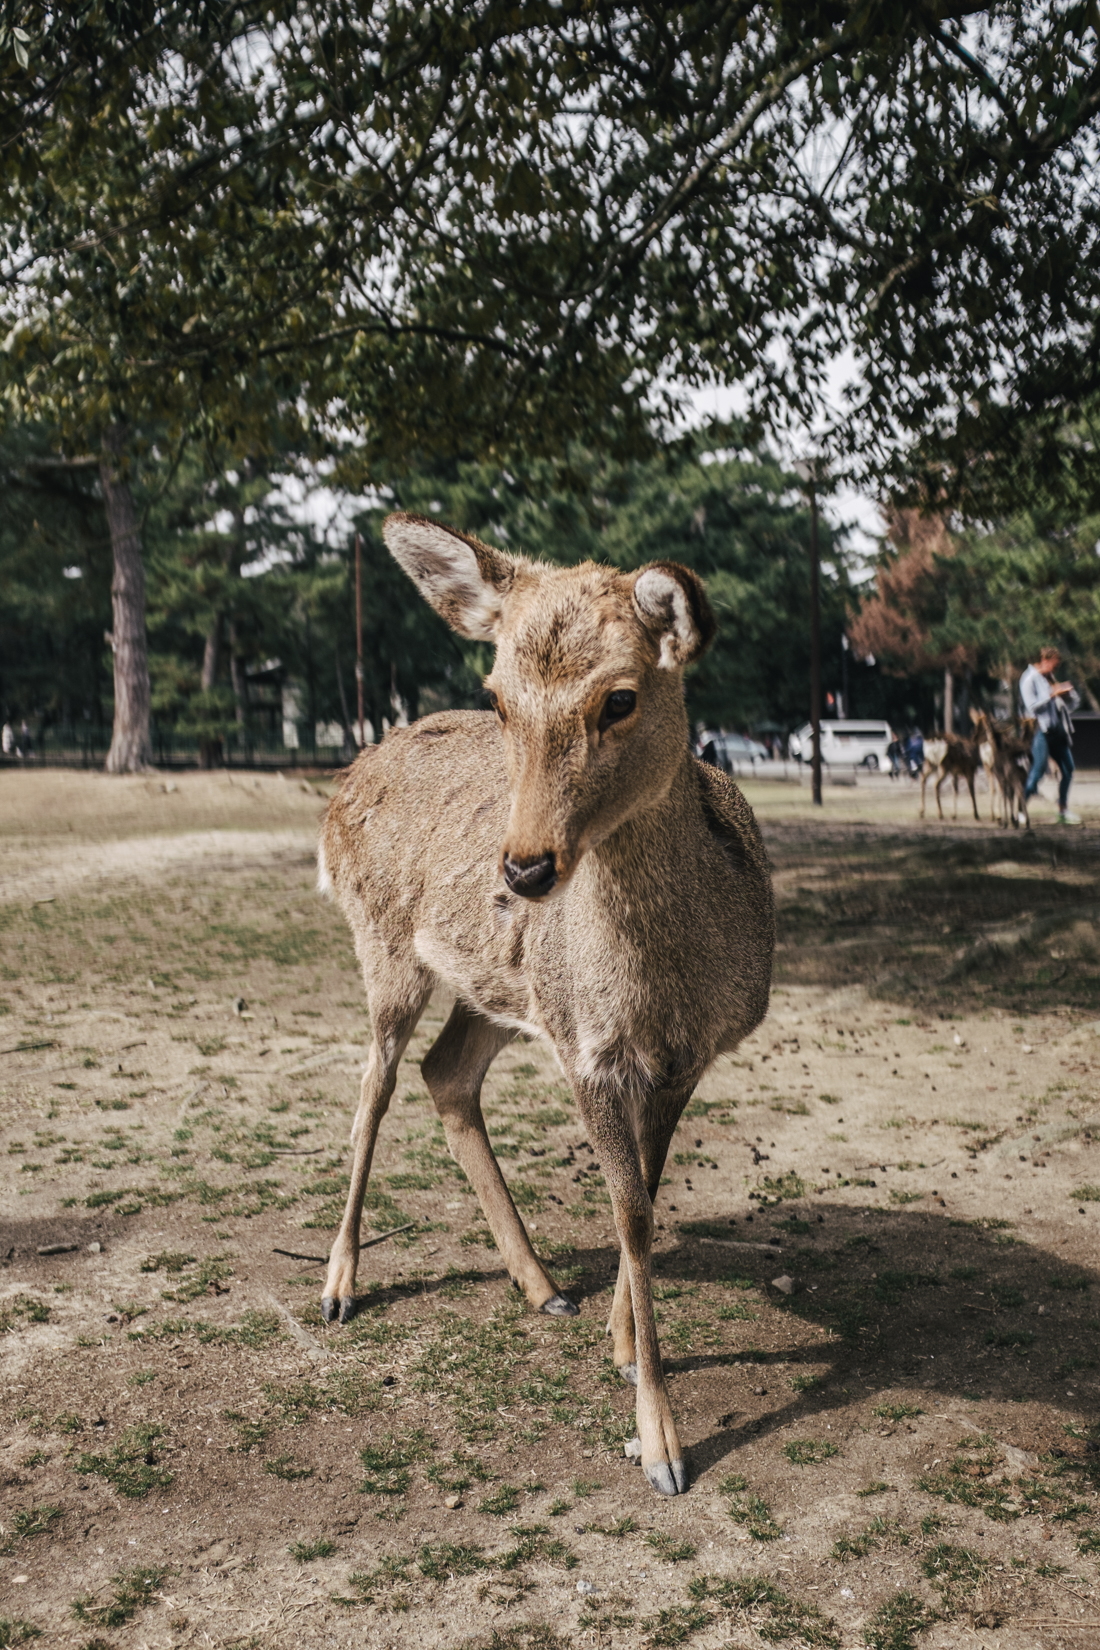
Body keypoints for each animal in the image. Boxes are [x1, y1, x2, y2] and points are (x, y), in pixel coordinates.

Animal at [313, 514, 775, 1498]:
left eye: (621, 698)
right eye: (496, 698)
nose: (524, 868)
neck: (665, 984)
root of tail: (344, 783)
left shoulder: (688, 1055)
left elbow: (644, 1195)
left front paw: (623, 1344)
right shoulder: (586, 1047)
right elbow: (630, 1211)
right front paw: (663, 1447)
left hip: (499, 989)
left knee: (445, 1074)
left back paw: (543, 1283)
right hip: (385, 950)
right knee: (374, 1085)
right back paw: (338, 1285)